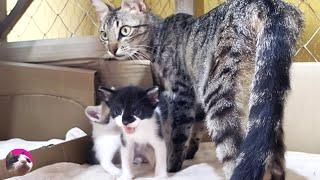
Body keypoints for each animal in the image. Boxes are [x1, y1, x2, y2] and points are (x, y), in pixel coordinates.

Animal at [92, 0, 302, 179]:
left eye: (124, 30)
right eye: (104, 35)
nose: (112, 49)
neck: (158, 37)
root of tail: (270, 5)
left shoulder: (182, 93)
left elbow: (178, 132)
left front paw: (173, 163)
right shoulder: (197, 96)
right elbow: (196, 126)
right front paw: (190, 150)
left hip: (219, 92)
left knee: (234, 152)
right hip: (264, 96)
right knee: (272, 151)